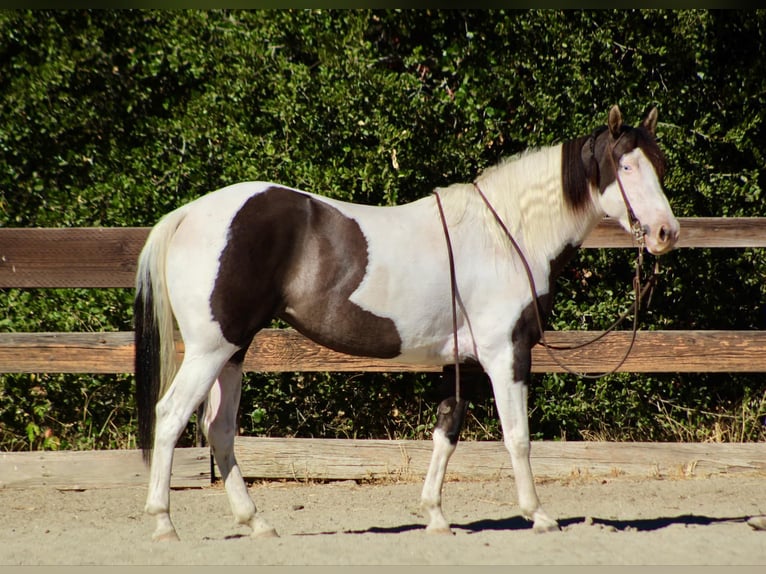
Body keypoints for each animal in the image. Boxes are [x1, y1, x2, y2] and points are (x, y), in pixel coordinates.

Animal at [134, 105, 680, 541]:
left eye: (660, 165)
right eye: (625, 166)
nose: (665, 233)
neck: (506, 234)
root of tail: (188, 214)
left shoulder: (461, 362)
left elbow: (447, 431)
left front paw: (435, 516)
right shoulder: (507, 352)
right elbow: (517, 436)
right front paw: (539, 516)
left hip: (234, 350)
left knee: (219, 429)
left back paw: (257, 523)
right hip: (211, 349)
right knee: (171, 415)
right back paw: (163, 523)